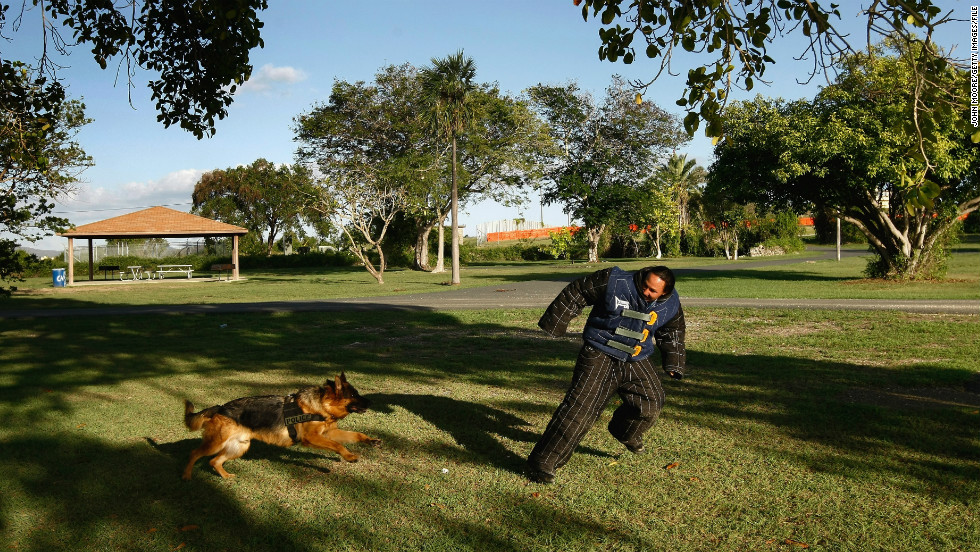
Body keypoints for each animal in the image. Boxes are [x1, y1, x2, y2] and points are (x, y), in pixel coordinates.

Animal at [182, 374, 380, 480]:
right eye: (354, 395)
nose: (371, 402)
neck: (321, 405)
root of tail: (221, 407)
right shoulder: (312, 438)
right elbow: (338, 445)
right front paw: (349, 456)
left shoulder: (330, 432)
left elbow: (356, 435)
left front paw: (370, 440)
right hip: (215, 444)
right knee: (194, 453)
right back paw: (186, 475)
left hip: (240, 446)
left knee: (214, 461)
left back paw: (225, 476)